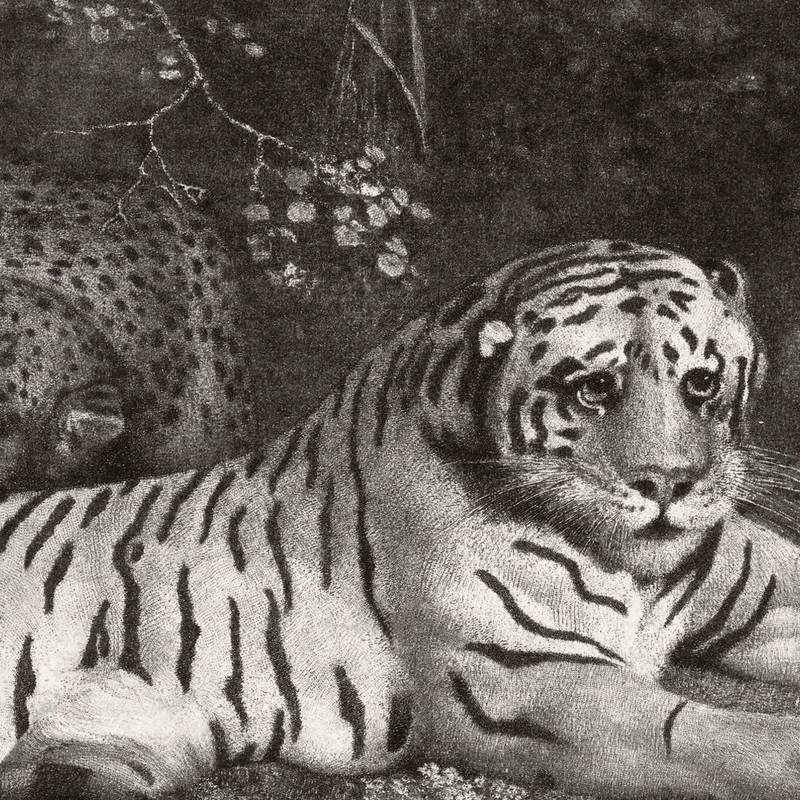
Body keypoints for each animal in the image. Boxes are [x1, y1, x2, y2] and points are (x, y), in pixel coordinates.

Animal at [0, 238, 799, 800]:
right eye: (595, 390)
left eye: (702, 383)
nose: (669, 483)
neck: (637, 565)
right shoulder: (519, 678)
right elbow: (701, 734)